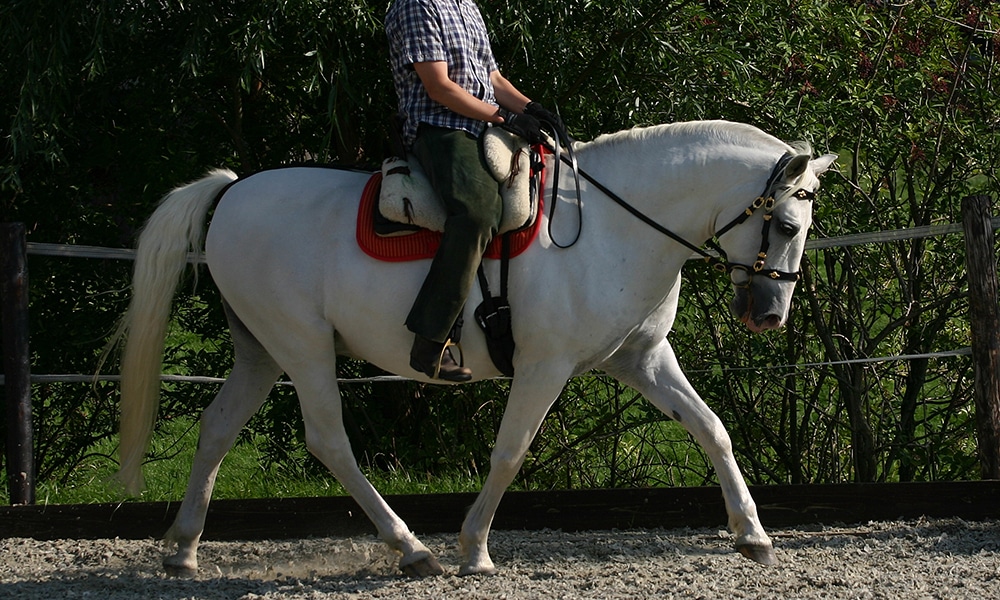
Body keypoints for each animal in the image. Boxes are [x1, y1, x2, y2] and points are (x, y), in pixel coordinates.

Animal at [115, 118, 836, 576]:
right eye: (786, 224)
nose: (770, 315)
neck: (613, 225)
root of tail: (234, 190)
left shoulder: (642, 359)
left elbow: (712, 429)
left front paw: (754, 536)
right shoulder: (546, 366)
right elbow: (511, 451)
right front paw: (475, 549)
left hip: (262, 351)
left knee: (217, 427)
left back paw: (183, 549)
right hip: (303, 347)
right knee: (328, 441)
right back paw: (412, 549)